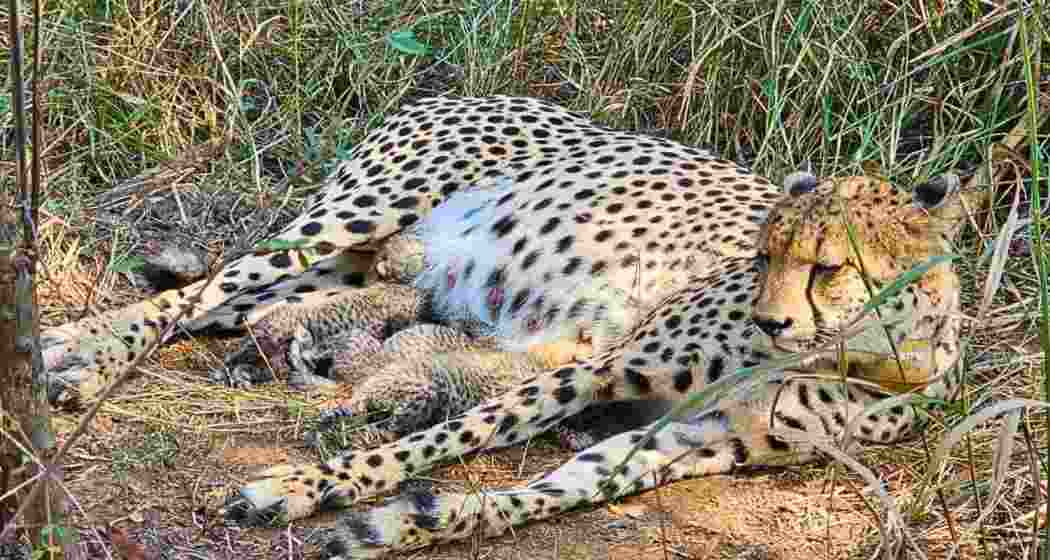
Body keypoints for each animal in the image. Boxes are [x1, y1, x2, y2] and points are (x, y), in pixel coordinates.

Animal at [38, 95, 983, 558]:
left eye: (829, 268)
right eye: (762, 254)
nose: (769, 317)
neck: (871, 356)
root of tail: (462, 89)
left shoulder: (693, 440)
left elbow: (546, 490)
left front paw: (407, 526)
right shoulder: (601, 368)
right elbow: (450, 435)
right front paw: (306, 486)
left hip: (357, 267)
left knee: (246, 309)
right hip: (354, 215)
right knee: (199, 292)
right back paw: (74, 355)